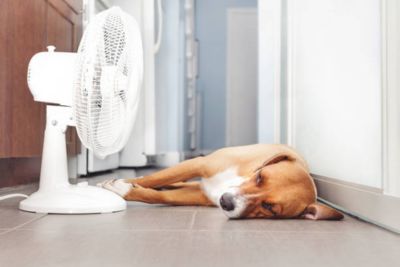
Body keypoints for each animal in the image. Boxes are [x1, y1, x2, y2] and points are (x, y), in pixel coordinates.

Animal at [97, 146, 344, 221]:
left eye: (269, 208)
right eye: (260, 177)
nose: (226, 202)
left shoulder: (198, 195)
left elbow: (158, 194)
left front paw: (127, 189)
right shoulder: (197, 163)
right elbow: (155, 178)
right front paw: (119, 184)